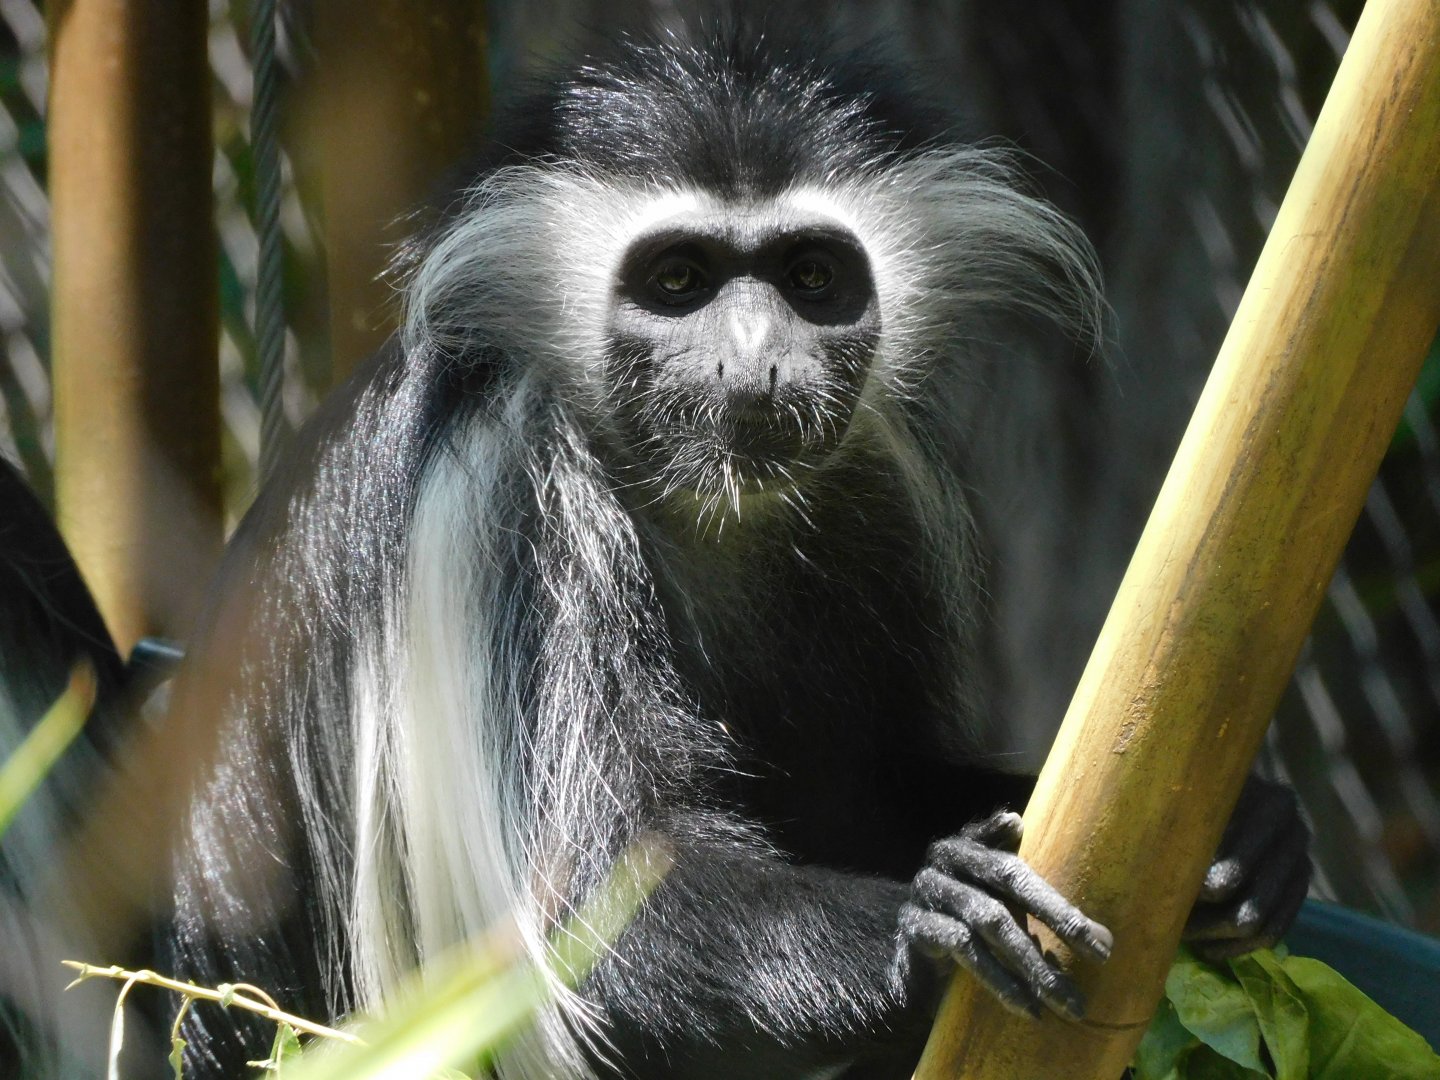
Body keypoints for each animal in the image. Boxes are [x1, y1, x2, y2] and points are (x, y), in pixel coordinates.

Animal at [143, 16, 1312, 1080]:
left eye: (810, 276)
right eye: (678, 280)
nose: (755, 361)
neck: (697, 502)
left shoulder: (873, 496)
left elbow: (869, 787)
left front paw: (1246, 838)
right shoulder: (511, 508)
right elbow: (591, 919)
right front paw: (933, 927)